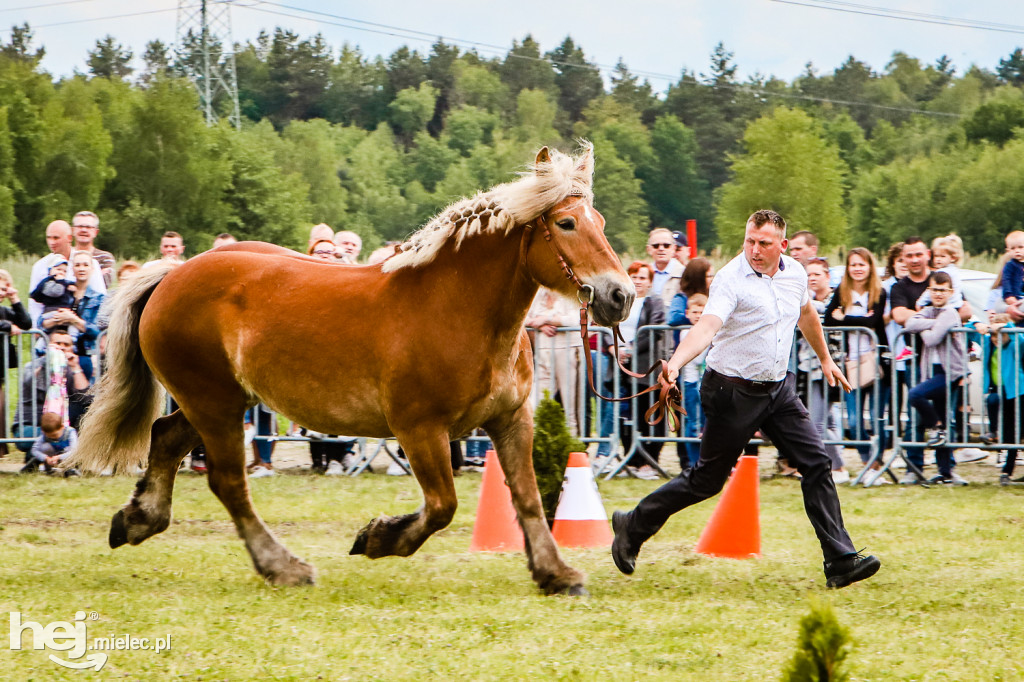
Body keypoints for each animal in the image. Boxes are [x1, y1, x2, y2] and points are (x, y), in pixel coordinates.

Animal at [74, 142, 630, 589]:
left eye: (601, 223)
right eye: (566, 223)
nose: (620, 296)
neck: (457, 308)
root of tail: (172, 274)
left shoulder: (510, 421)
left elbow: (529, 498)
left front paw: (555, 574)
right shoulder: (419, 430)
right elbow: (442, 506)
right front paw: (379, 537)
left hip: (217, 402)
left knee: (165, 438)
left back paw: (138, 519)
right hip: (213, 404)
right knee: (228, 482)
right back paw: (283, 566)